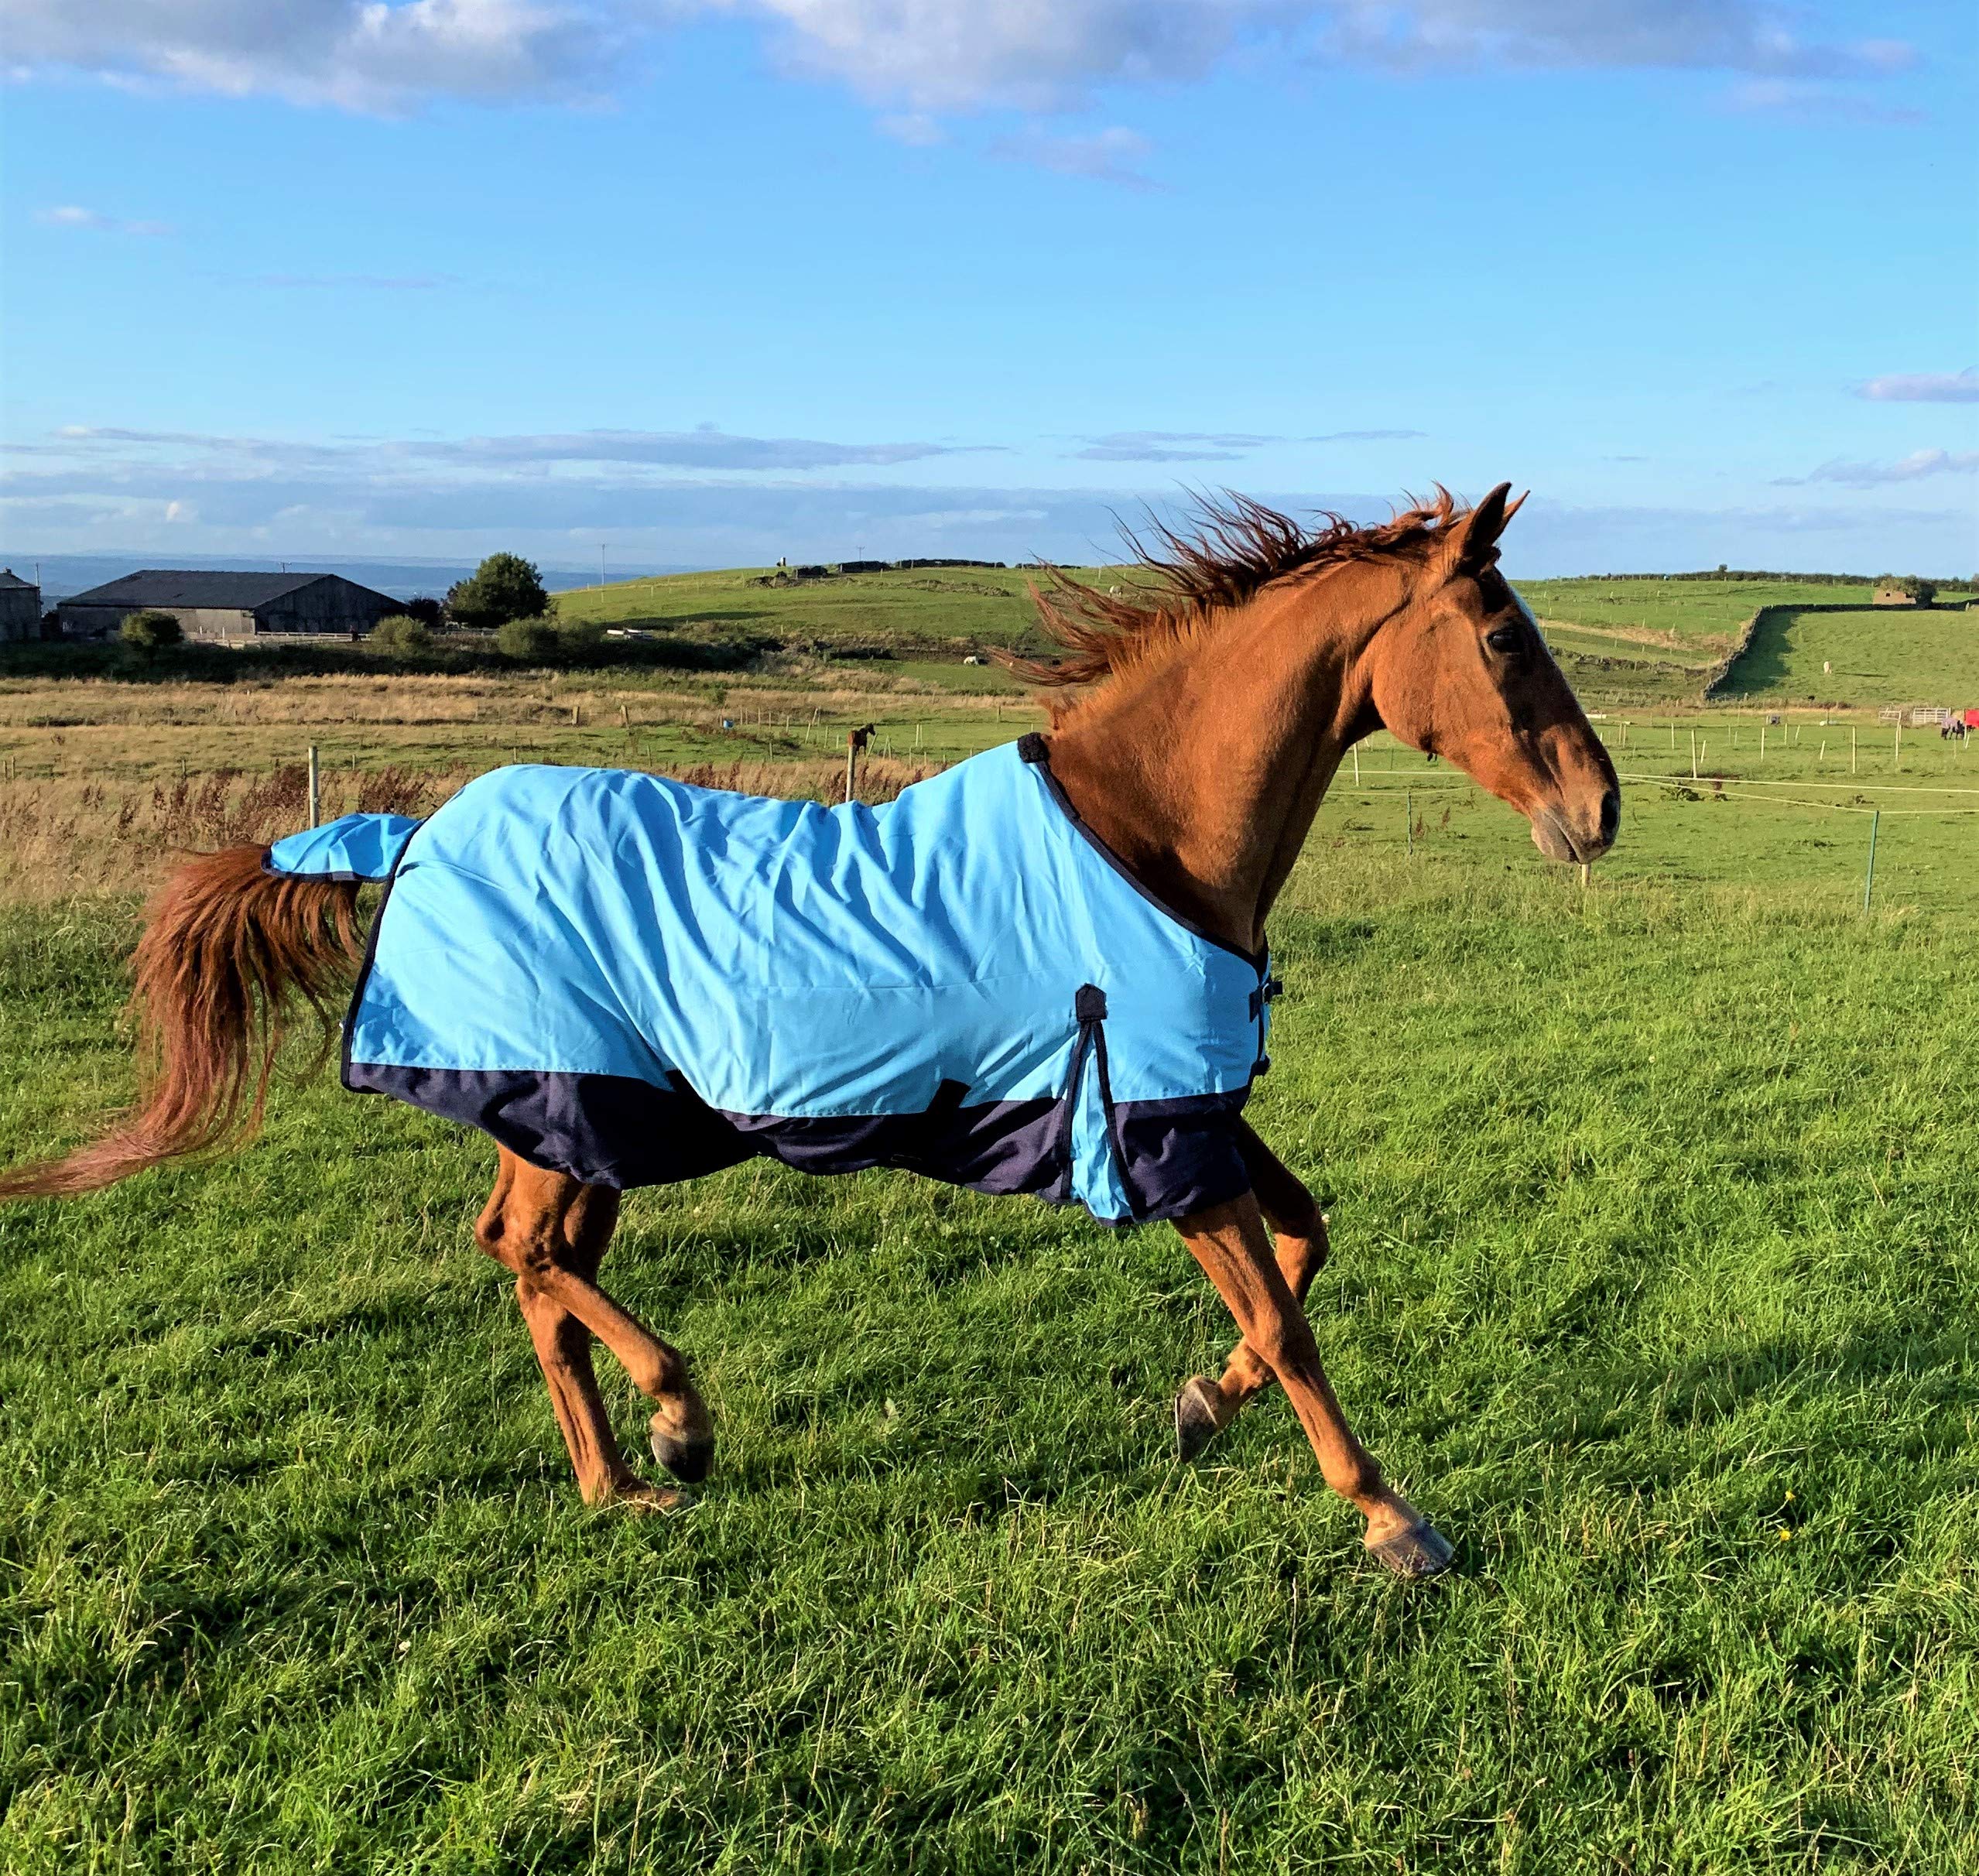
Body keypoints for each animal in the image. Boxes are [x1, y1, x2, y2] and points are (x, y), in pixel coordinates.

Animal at [0, 483, 1618, 1578]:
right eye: (1497, 634)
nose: (1597, 810)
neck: (1142, 837)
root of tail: (418, 831)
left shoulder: (1190, 1113)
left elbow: (1307, 1239)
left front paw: (1194, 1408)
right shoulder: (1162, 1129)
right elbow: (1286, 1316)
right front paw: (1393, 1516)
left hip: (592, 1119)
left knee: (541, 1266)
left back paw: (622, 1480)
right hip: (569, 1101)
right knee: (525, 1253)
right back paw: (676, 1423)